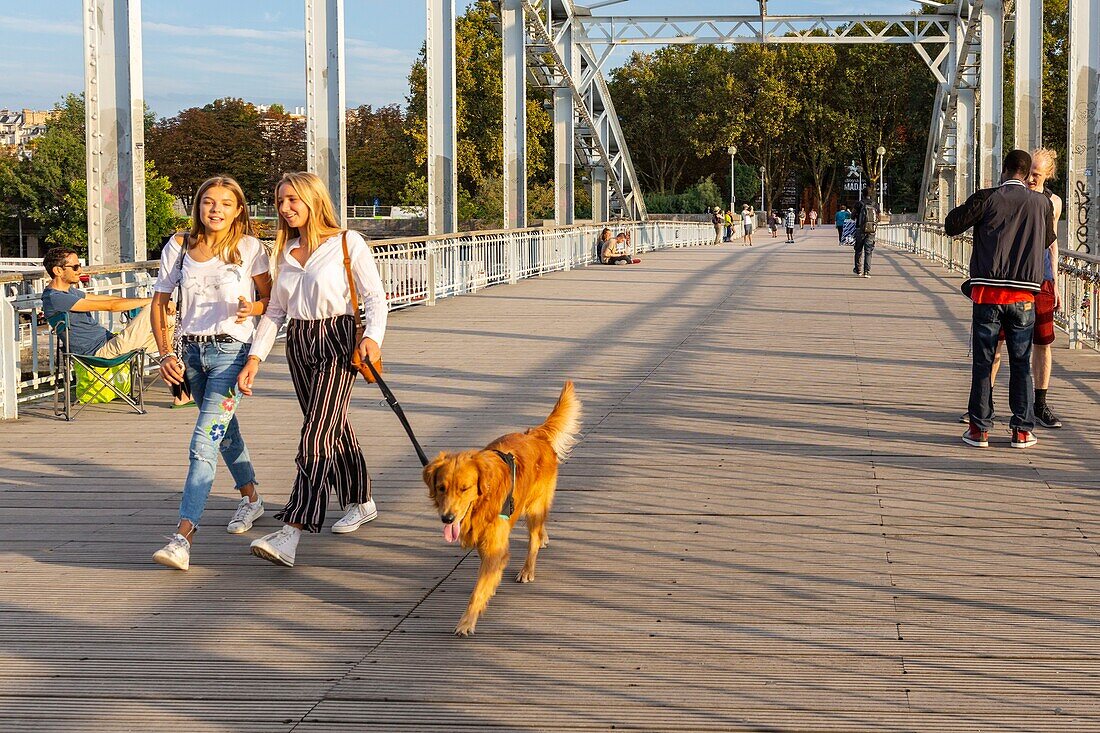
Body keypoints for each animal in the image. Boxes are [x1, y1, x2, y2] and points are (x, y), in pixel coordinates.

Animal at [420, 383, 580, 633]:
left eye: (464, 488)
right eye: (441, 487)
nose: (447, 518)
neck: (481, 504)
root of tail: (534, 434)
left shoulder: (494, 544)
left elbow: (478, 590)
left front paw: (467, 621)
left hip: (534, 506)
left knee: (533, 538)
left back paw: (528, 569)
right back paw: (544, 538)